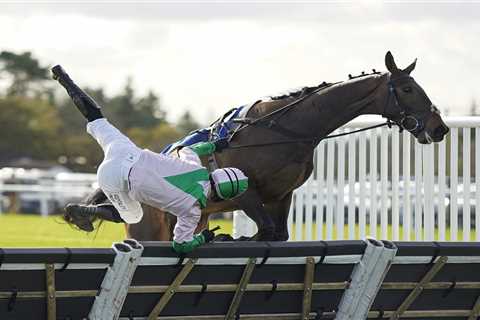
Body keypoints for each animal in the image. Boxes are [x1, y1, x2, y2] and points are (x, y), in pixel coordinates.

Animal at [89, 50, 450, 240]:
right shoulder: (246, 195)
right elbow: (262, 231)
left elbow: (276, 234)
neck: (285, 130)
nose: (440, 128)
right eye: (407, 89)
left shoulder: (280, 196)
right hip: (149, 227)